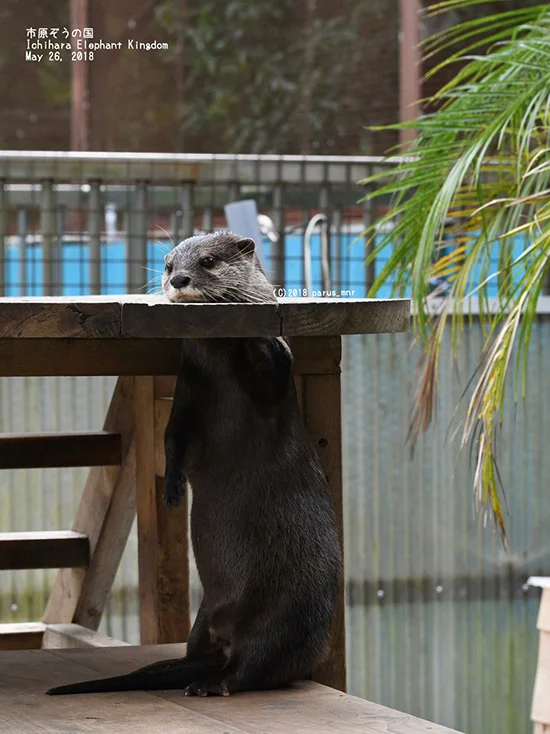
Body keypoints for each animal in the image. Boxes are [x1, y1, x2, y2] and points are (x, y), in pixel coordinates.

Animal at [47, 231, 342, 697]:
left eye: (208, 261)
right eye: (168, 265)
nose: (179, 279)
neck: (221, 374)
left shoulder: (273, 394)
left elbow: (278, 369)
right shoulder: (187, 391)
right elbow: (172, 440)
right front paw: (171, 492)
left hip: (282, 612)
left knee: (253, 666)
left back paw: (212, 684)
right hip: (202, 618)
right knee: (207, 655)